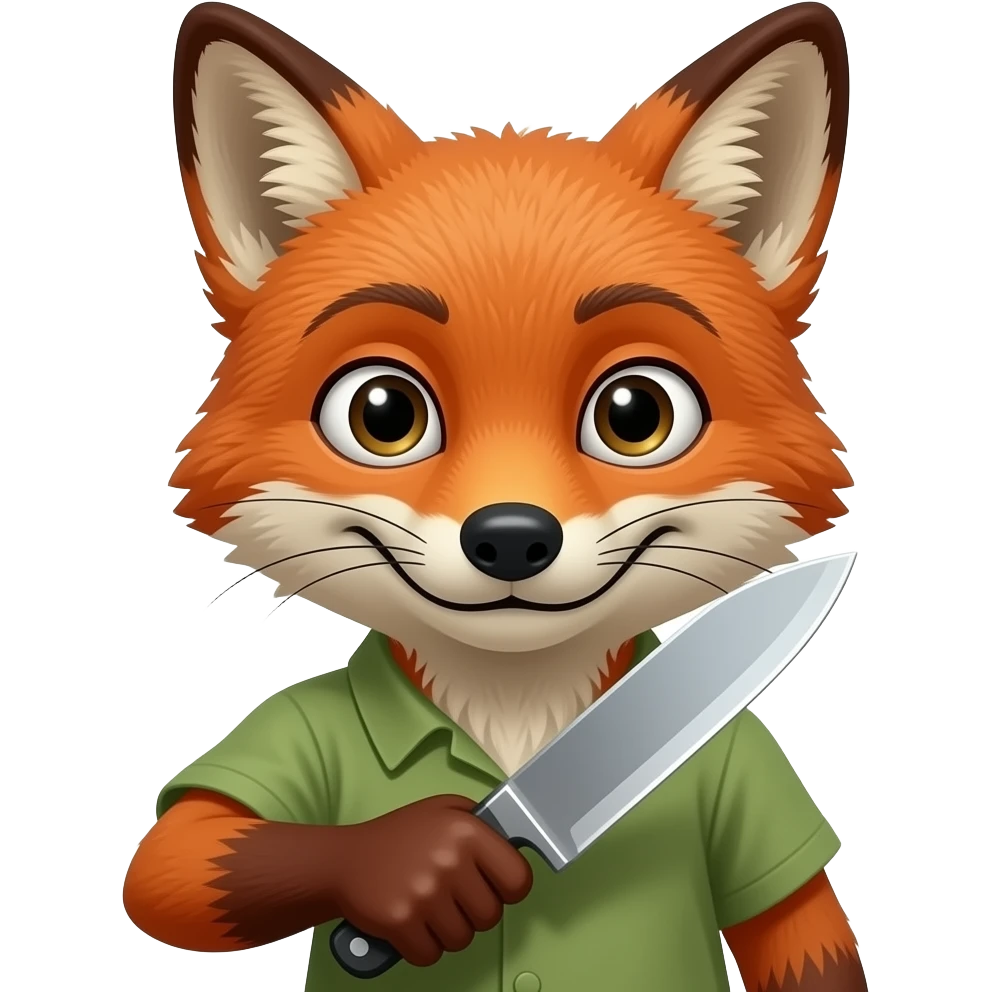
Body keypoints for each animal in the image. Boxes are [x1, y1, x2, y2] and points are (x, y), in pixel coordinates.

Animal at [125, 3, 864, 991]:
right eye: (383, 412)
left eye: (637, 413)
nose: (511, 536)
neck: (514, 708)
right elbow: (177, 859)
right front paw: (414, 869)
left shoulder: (746, 757)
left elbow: (798, 926)